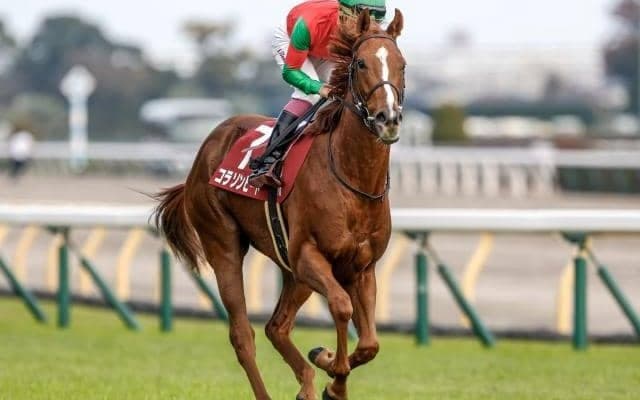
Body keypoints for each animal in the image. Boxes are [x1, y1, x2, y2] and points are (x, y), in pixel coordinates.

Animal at [153, 9, 405, 400]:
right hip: (224, 243)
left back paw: (308, 381)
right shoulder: (308, 255)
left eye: (402, 65)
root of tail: (208, 146)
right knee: (243, 335)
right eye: (361, 63)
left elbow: (370, 344)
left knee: (276, 326)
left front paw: (327, 367)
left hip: (291, 269)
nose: (387, 118)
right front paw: (334, 371)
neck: (354, 179)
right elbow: (341, 307)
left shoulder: (361, 268)